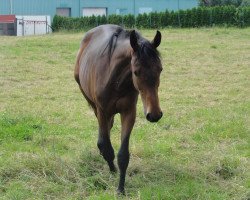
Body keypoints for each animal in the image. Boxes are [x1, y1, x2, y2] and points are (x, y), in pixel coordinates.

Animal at [73, 24, 164, 195]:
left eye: (160, 69)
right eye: (136, 72)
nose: (154, 114)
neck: (116, 80)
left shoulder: (128, 112)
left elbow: (123, 155)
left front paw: (121, 188)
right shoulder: (102, 111)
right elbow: (107, 146)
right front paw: (112, 170)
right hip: (93, 104)